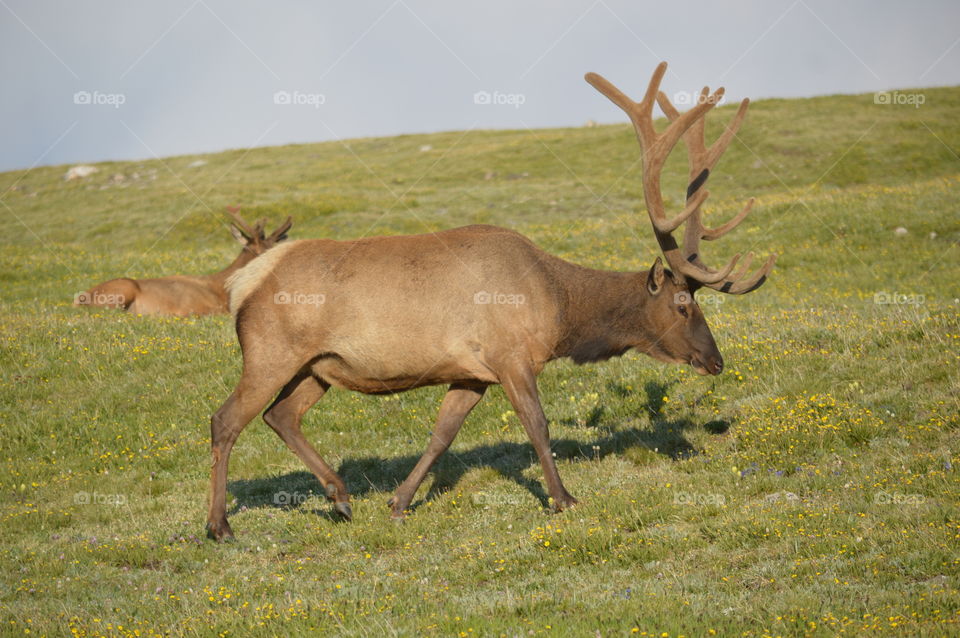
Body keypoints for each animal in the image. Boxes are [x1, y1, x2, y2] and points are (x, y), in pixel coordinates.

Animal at [204, 62, 777, 541]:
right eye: (683, 305)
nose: (716, 361)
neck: (558, 307)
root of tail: (242, 283)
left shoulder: (470, 372)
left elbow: (441, 435)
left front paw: (399, 502)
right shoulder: (511, 354)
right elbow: (537, 425)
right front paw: (564, 498)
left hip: (318, 367)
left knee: (280, 416)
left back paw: (341, 498)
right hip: (271, 352)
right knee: (225, 419)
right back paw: (219, 526)